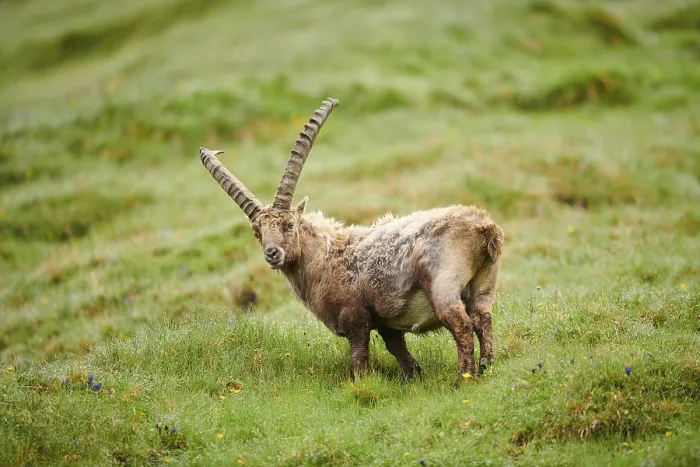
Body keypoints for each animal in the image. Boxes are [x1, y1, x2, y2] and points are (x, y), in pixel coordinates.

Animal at [199, 98, 504, 380]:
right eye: (257, 233)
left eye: (289, 224)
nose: (272, 253)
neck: (324, 256)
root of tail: (484, 229)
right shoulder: (383, 320)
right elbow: (396, 347)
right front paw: (413, 375)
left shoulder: (354, 316)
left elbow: (359, 356)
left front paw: (361, 382)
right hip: (484, 284)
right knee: (483, 318)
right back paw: (485, 367)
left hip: (443, 285)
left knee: (461, 325)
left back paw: (463, 377)